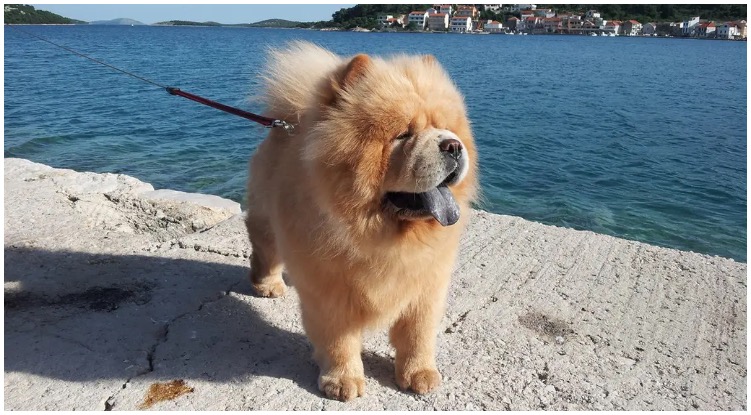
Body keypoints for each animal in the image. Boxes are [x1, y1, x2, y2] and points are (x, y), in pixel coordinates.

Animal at [250, 41, 478, 400]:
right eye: (402, 135)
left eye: (446, 128)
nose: (452, 145)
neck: (384, 237)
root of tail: (285, 123)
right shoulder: (328, 290)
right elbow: (339, 339)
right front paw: (343, 382)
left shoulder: (427, 286)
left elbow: (418, 335)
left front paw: (420, 375)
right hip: (267, 223)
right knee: (265, 252)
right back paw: (267, 285)